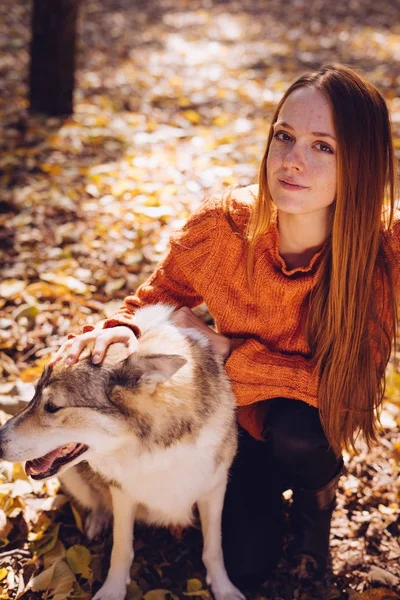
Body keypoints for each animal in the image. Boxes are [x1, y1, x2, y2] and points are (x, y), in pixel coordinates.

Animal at [0, 304, 244, 600]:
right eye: (34, 396)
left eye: (52, 407)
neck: (154, 451)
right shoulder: (123, 493)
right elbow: (121, 549)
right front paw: (113, 590)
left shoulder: (214, 489)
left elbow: (213, 548)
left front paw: (224, 589)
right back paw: (97, 521)